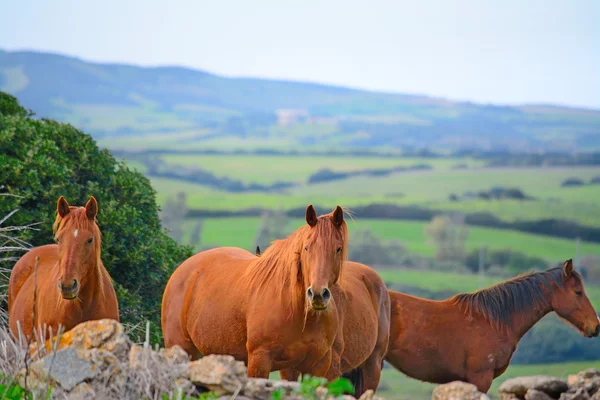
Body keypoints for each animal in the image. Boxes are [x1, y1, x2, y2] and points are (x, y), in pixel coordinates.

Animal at [162, 206, 350, 378]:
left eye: (338, 249)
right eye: (306, 248)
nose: (317, 295)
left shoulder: (316, 367)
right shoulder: (260, 362)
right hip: (181, 350)